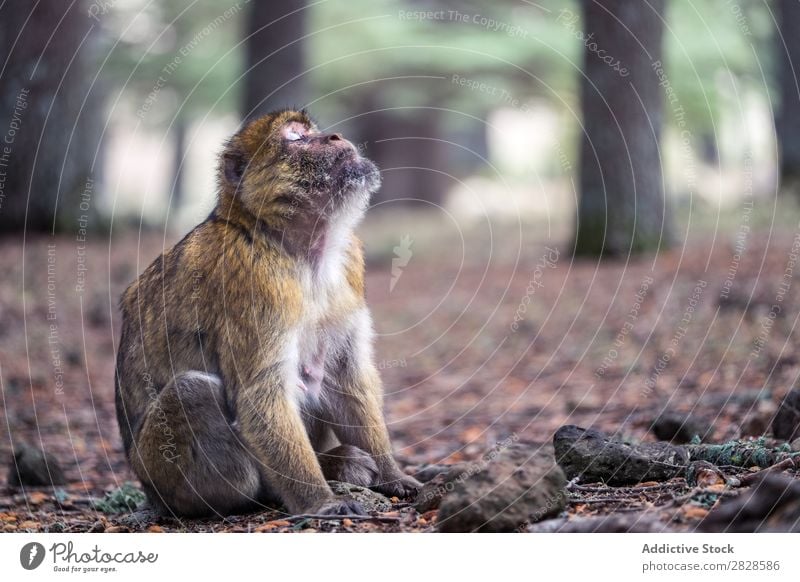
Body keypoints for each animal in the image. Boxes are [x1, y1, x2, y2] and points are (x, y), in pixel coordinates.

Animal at [116, 107, 424, 516]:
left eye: (313, 131)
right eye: (295, 137)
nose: (336, 137)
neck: (294, 246)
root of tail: (148, 490)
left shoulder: (349, 264)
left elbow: (343, 377)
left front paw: (393, 475)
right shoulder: (251, 280)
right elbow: (261, 393)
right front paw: (320, 502)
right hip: (164, 473)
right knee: (193, 390)